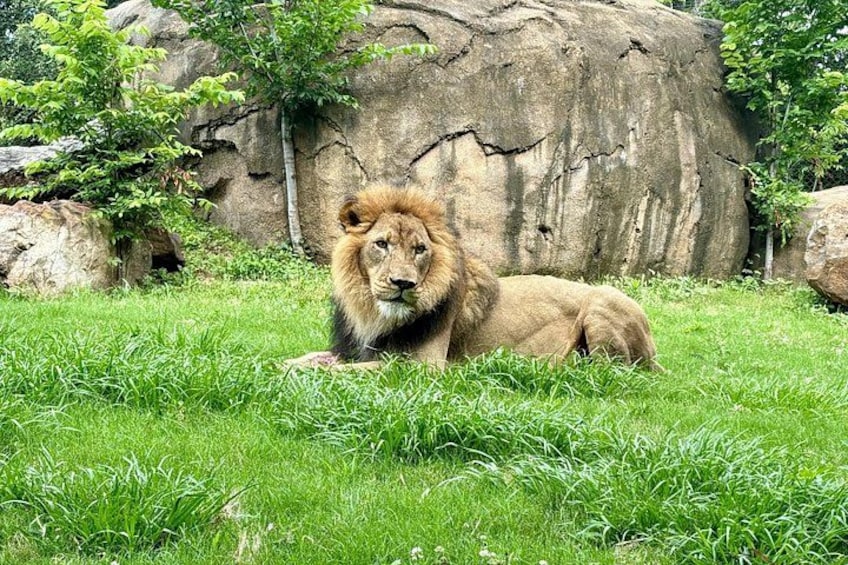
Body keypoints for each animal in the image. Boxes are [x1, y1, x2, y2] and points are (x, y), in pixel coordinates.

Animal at [286, 185, 658, 370]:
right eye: (382, 244)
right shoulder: (352, 349)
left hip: (603, 301)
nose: (403, 284)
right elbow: (310, 358)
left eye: (420, 249)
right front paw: (280, 365)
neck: (372, 315)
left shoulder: (421, 367)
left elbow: (337, 371)